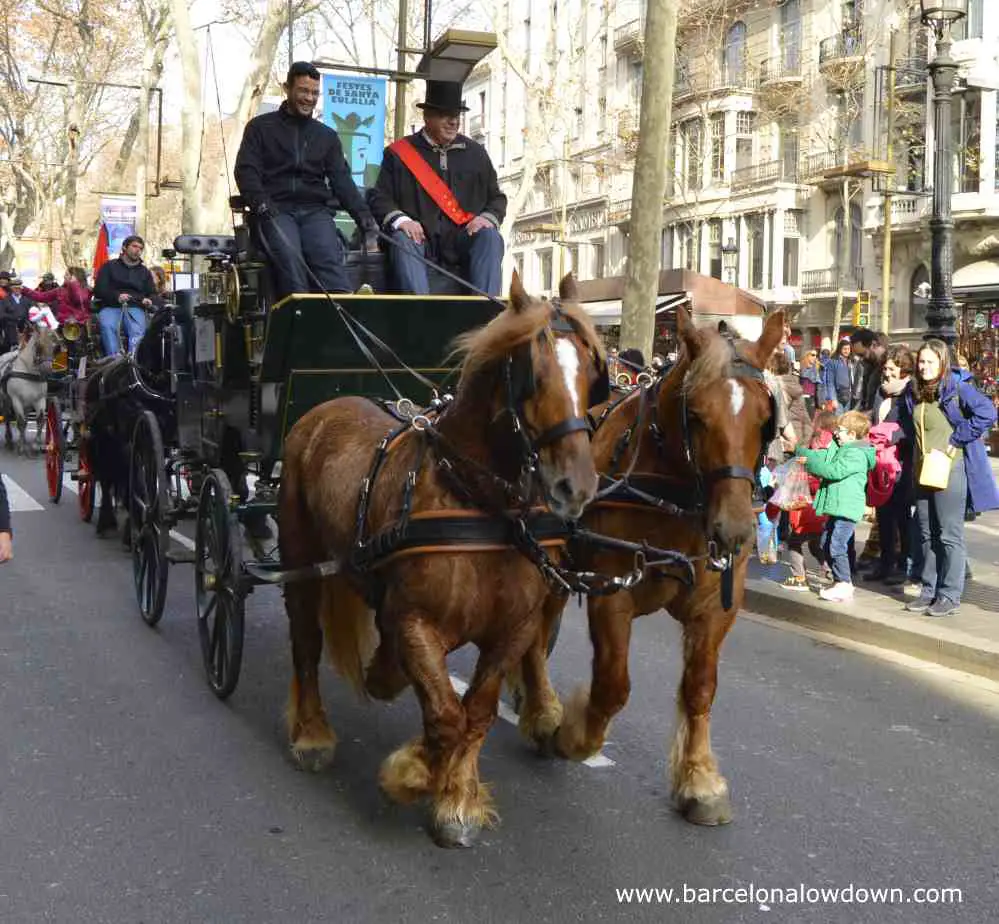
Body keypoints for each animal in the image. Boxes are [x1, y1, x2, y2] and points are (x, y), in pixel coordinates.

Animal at [0, 324, 56, 454]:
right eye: (38, 345)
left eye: (55, 346)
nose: (47, 369)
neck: (28, 371)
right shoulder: (16, 400)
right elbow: (20, 422)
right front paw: (21, 447)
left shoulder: (39, 399)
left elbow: (40, 420)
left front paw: (35, 444)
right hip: (5, 399)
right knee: (7, 417)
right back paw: (9, 440)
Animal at [278, 272, 608, 844]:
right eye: (532, 372)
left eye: (592, 370)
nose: (576, 486)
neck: (481, 507)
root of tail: (325, 408)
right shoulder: (415, 621)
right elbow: (446, 716)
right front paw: (411, 774)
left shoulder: (512, 629)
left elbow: (475, 711)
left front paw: (457, 799)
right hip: (301, 560)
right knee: (305, 642)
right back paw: (313, 733)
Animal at [516, 308, 788, 824]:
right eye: (696, 416)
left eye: (765, 419)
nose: (736, 529)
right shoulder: (612, 593)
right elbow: (611, 686)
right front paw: (574, 735)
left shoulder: (715, 607)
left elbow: (700, 687)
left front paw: (700, 780)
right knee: (532, 637)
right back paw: (542, 711)